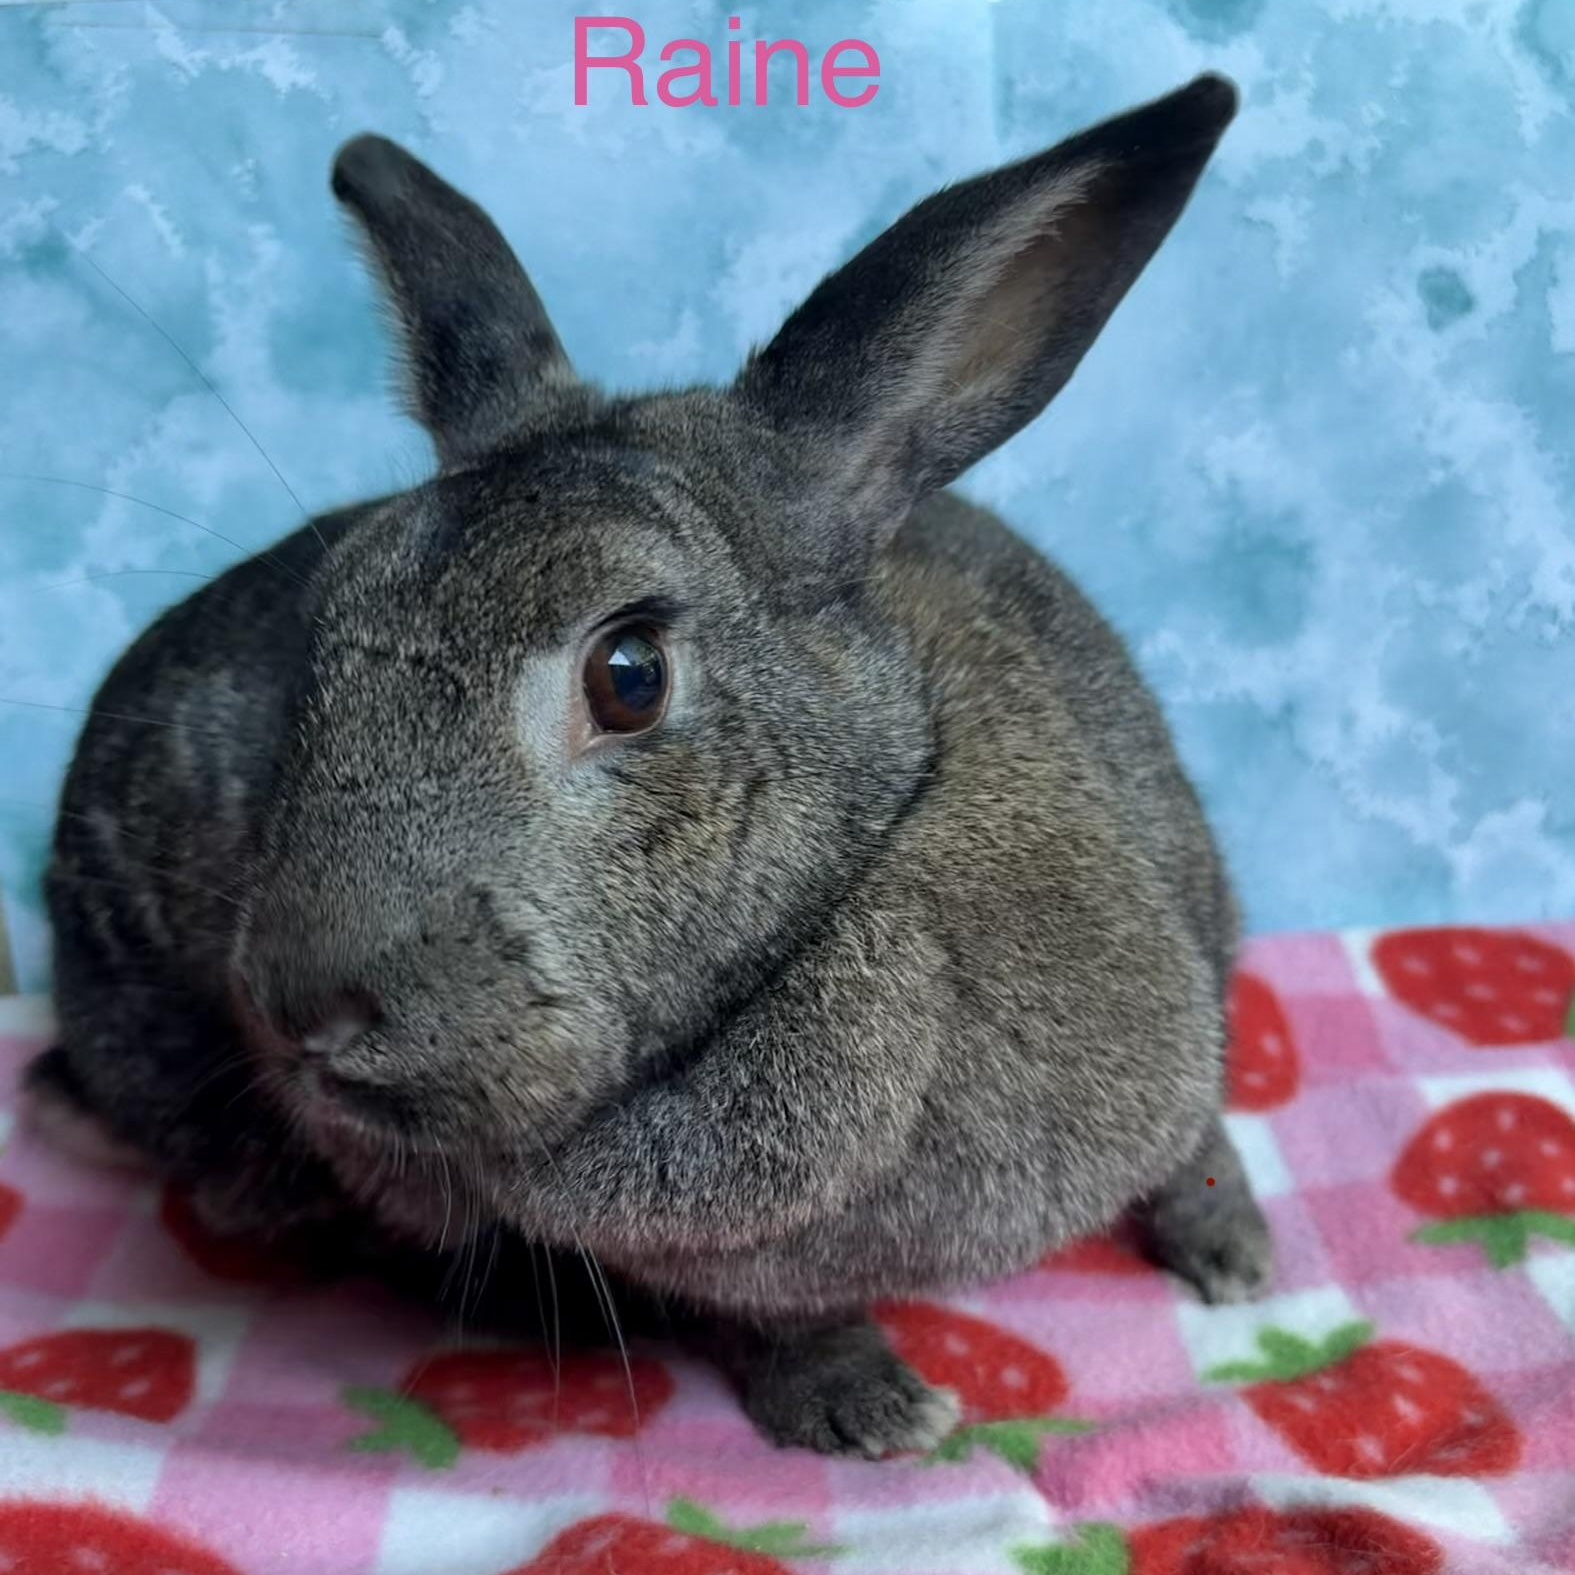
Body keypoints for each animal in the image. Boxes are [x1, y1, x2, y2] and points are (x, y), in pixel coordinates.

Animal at [25, 72, 1271, 1458]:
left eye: (628, 674)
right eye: (321, 637)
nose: (305, 1008)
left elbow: (1196, 1131)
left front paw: (1232, 1251)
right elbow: (773, 1317)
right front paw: (865, 1407)